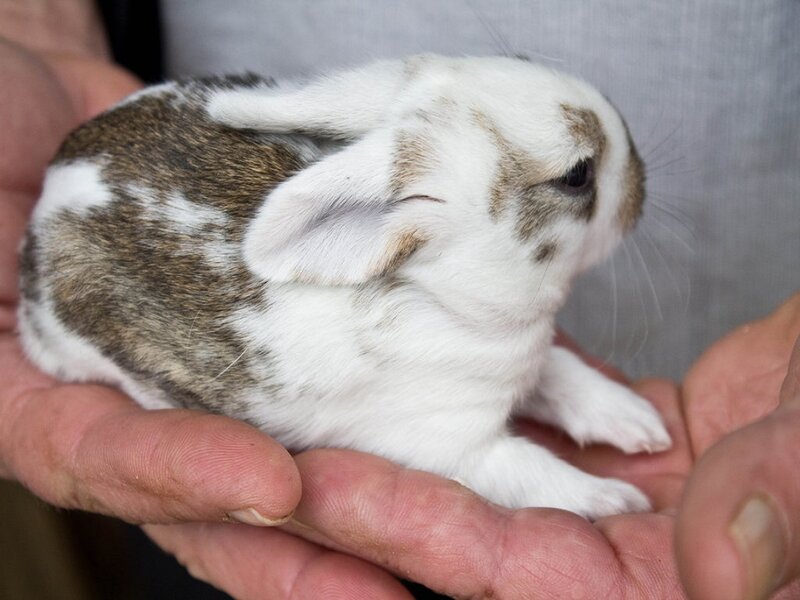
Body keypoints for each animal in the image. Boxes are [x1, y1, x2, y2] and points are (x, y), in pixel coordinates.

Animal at [17, 54, 671, 519]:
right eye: (578, 175)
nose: (642, 173)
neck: (441, 295)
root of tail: (46, 199)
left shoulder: (525, 365)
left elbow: (564, 375)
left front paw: (637, 424)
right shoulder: (456, 443)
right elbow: (533, 473)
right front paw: (616, 500)